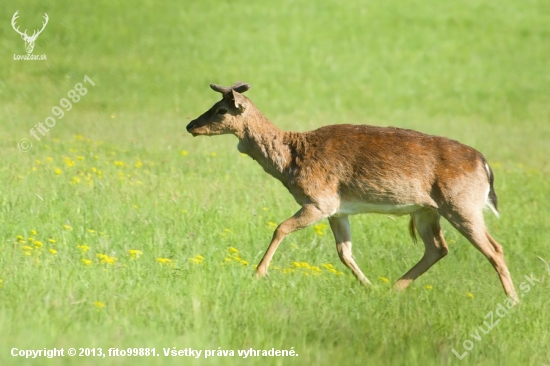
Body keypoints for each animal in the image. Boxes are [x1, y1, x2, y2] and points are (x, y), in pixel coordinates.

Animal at [188, 81, 520, 302]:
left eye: (220, 109)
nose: (191, 124)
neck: (291, 160)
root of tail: (485, 166)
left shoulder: (320, 200)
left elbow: (280, 227)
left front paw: (258, 273)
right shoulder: (338, 210)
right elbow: (344, 252)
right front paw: (368, 286)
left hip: (461, 204)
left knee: (494, 248)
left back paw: (513, 300)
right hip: (427, 210)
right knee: (438, 247)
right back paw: (392, 289)